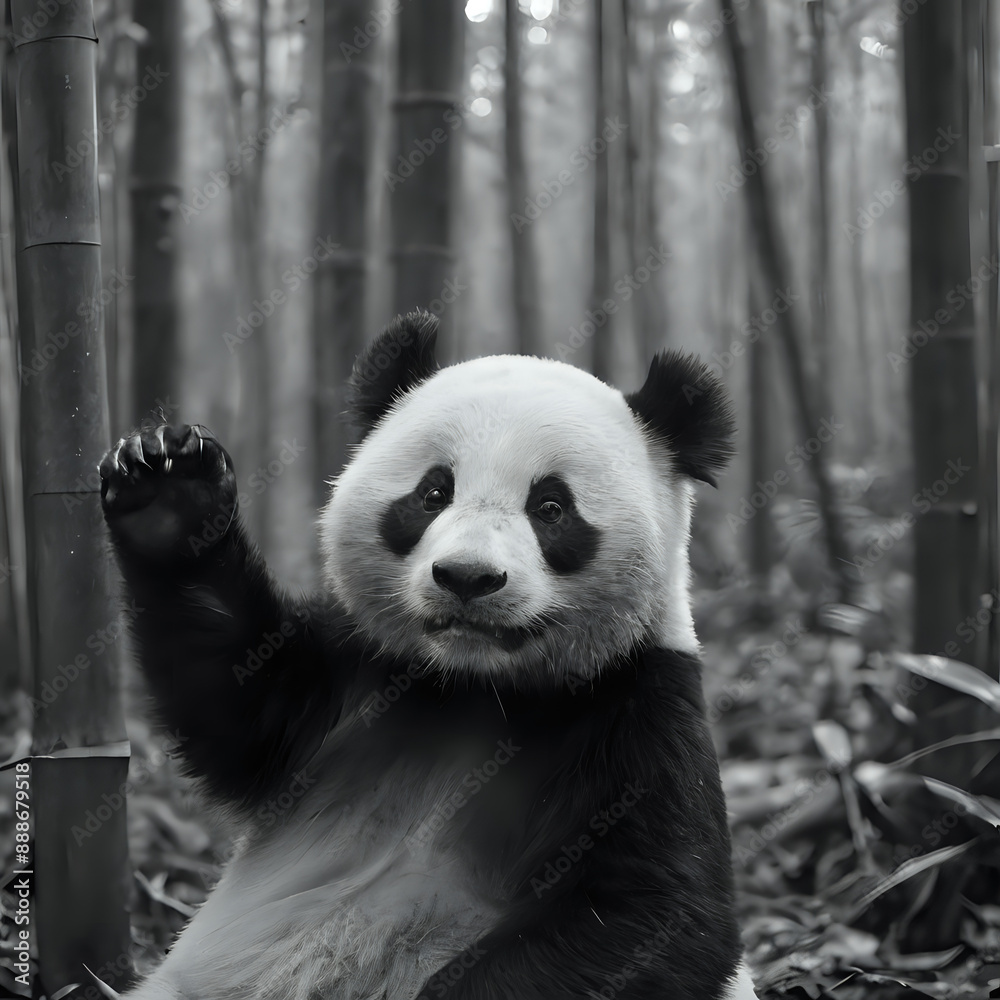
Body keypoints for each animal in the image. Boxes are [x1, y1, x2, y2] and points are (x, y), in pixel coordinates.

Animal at [100, 311, 759, 1000]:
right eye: (433, 493)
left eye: (551, 506)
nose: (468, 577)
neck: (476, 685)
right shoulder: (354, 673)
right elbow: (237, 702)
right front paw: (169, 491)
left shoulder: (640, 707)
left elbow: (656, 913)